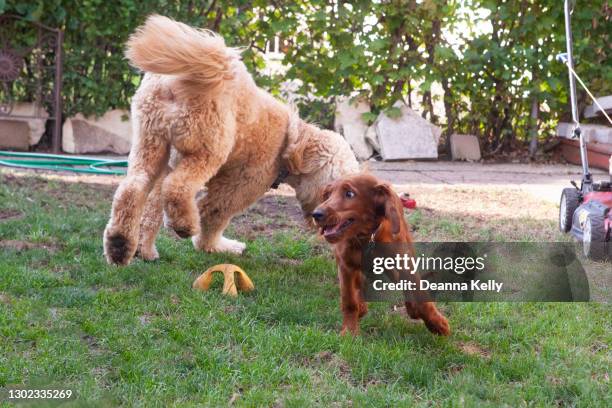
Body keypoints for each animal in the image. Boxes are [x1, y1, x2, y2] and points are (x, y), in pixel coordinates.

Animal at [310, 174, 450, 336]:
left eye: (349, 193)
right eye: (328, 195)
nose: (316, 214)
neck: (367, 237)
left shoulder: (403, 262)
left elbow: (419, 294)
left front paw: (437, 323)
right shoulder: (345, 266)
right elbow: (349, 301)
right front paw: (349, 331)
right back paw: (362, 305)